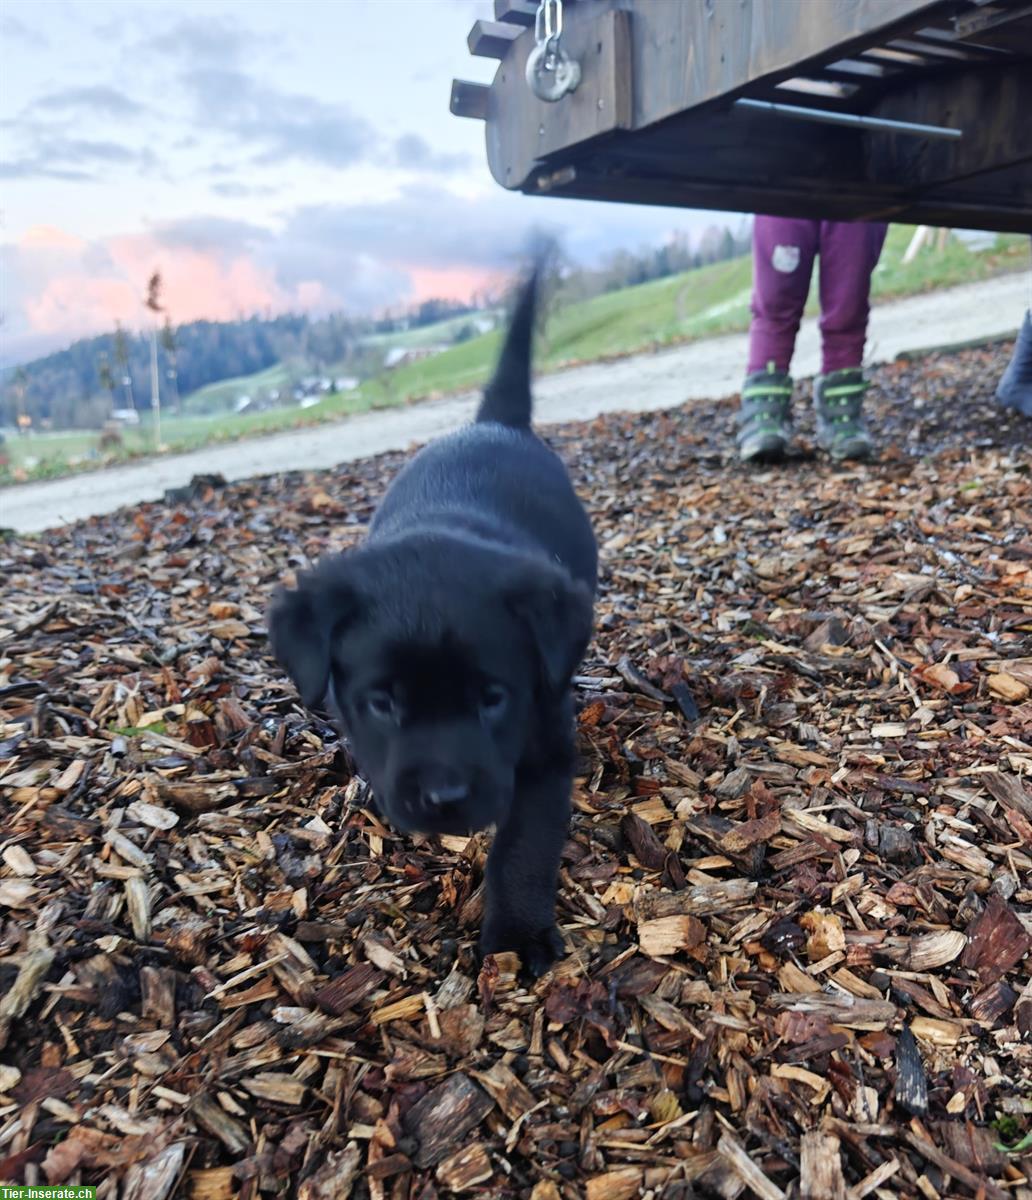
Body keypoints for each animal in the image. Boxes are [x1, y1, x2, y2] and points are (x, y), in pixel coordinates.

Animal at [267, 265, 597, 974]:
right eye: (382, 703)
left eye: (493, 698)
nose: (445, 799)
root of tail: (493, 424)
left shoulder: (545, 745)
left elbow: (524, 843)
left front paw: (517, 933)